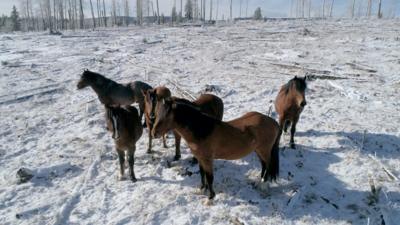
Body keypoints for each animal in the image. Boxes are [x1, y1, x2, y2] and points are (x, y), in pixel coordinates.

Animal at [152, 98, 280, 199]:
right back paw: (260, 182)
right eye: (157, 113)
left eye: (167, 116)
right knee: (264, 165)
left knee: (268, 165)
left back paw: (263, 186)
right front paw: (202, 189)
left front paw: (211, 197)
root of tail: (273, 121)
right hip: (258, 150)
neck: (202, 130)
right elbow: (202, 174)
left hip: (264, 150)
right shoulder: (200, 158)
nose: (154, 133)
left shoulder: (207, 159)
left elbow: (209, 177)